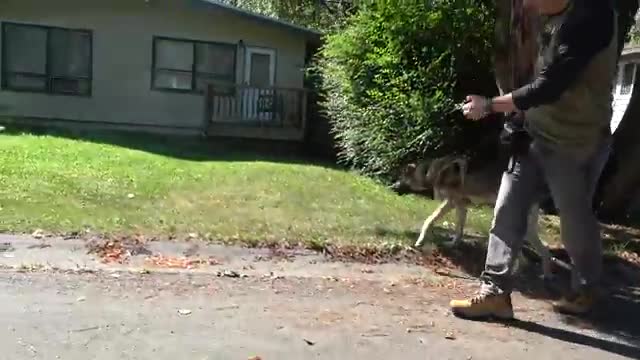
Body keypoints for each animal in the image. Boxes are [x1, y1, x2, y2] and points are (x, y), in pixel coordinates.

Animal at [390, 155, 556, 278]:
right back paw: (538, 275)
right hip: (524, 230)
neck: (431, 172)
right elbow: (459, 230)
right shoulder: (461, 207)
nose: (392, 186)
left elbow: (429, 221)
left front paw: (419, 241)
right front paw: (453, 244)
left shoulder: (451, 202)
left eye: (401, 177)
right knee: (541, 253)